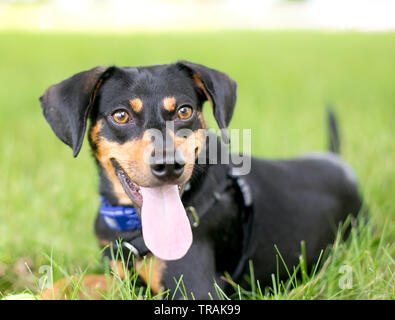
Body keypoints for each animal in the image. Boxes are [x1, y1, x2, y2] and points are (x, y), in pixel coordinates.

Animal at [38, 61, 364, 298]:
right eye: (120, 115)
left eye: (185, 111)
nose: (169, 165)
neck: (132, 224)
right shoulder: (121, 277)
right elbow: (66, 282)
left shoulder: (194, 290)